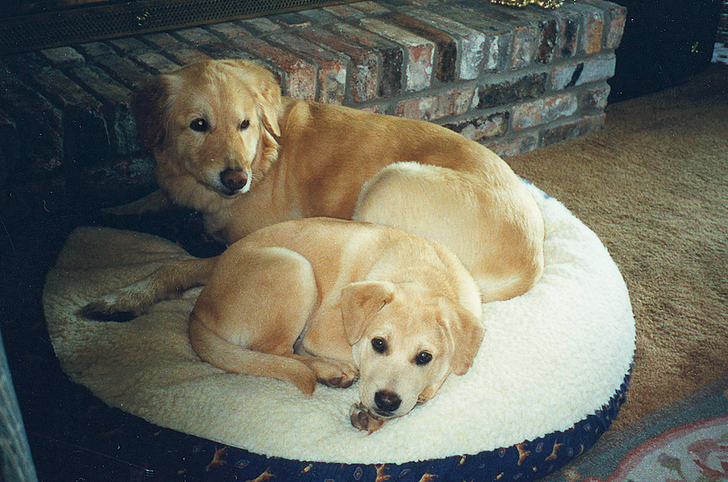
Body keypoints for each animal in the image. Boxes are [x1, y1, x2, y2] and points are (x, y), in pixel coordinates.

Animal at [99, 60, 540, 316]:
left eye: (245, 124)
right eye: (198, 125)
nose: (236, 180)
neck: (263, 158)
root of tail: (532, 262)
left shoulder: (248, 241)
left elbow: (175, 265)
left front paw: (125, 296)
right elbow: (150, 197)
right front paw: (110, 209)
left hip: (388, 182)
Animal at [186, 217, 484, 432]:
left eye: (424, 357)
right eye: (378, 343)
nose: (386, 402)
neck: (426, 274)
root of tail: (197, 309)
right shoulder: (324, 331)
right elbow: (356, 356)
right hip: (296, 268)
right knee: (275, 351)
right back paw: (330, 370)